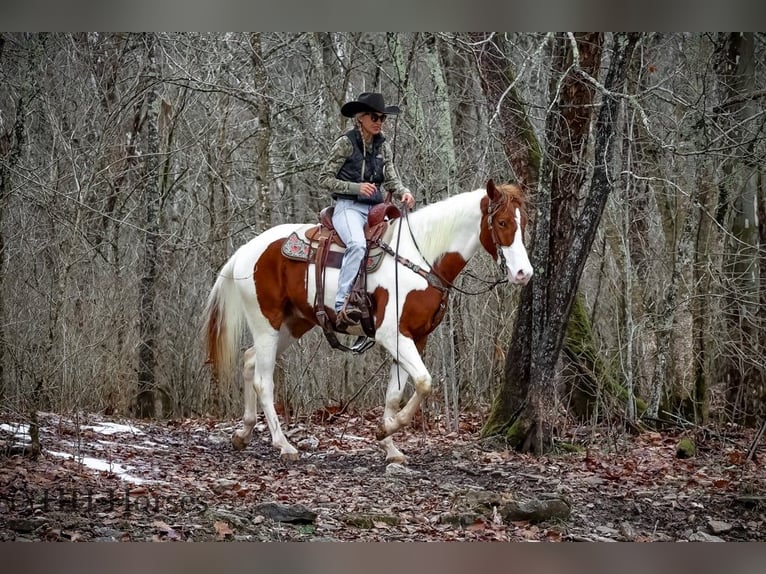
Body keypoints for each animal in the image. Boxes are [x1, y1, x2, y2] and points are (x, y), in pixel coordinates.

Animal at [204, 179, 536, 464]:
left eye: (523, 223)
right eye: (502, 222)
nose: (524, 273)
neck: (421, 258)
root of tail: (246, 250)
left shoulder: (415, 337)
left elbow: (395, 395)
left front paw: (389, 445)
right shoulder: (393, 335)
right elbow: (424, 382)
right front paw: (387, 429)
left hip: (293, 324)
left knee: (249, 361)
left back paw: (244, 433)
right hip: (267, 323)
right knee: (263, 380)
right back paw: (283, 445)